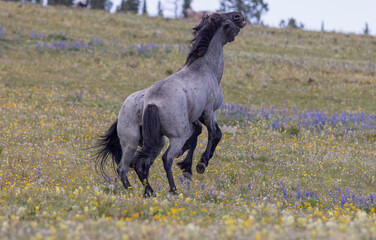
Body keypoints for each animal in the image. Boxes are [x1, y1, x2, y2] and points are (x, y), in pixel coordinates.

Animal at [95, 11, 245, 197]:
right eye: (229, 19)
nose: (239, 15)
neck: (204, 69)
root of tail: (152, 101)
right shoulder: (208, 112)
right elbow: (215, 134)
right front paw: (200, 164)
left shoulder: (194, 117)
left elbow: (196, 135)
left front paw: (187, 166)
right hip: (174, 137)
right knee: (164, 159)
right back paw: (172, 190)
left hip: (137, 142)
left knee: (129, 166)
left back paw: (145, 192)